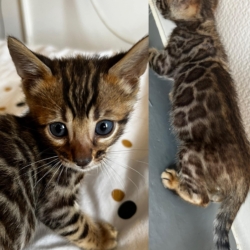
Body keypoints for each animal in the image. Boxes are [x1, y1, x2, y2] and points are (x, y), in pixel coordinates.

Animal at [0, 35, 147, 250]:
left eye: (104, 127)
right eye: (58, 129)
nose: (82, 161)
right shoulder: (54, 204)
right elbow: (77, 225)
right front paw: (103, 237)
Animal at [149, 0, 249, 250]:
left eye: (164, 2)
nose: (155, 1)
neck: (204, 23)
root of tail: (244, 178)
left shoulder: (168, 62)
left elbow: (153, 58)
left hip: (190, 153)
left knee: (201, 199)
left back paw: (175, 182)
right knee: (214, 195)